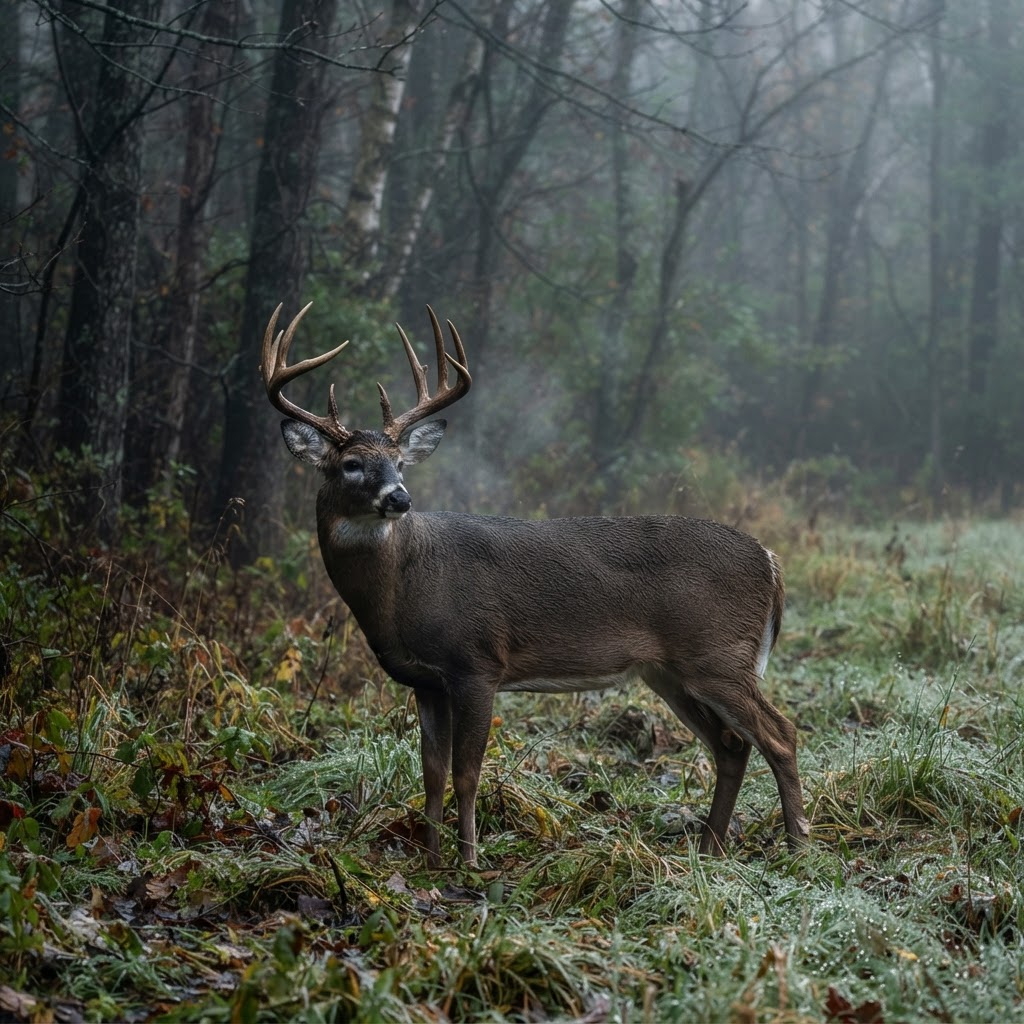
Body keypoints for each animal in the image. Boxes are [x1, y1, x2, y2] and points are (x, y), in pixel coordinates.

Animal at [260, 302, 810, 868]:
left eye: (398, 462)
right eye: (351, 465)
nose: (399, 498)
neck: (404, 587)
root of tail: (770, 561)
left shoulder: (477, 662)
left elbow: (466, 773)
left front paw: (468, 863)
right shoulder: (425, 680)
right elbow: (431, 775)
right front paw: (431, 862)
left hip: (717, 655)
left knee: (780, 735)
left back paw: (797, 846)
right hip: (671, 672)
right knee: (731, 744)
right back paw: (708, 849)